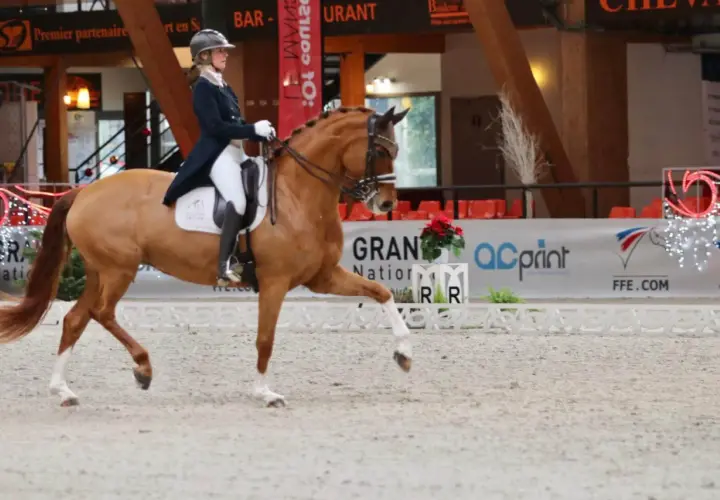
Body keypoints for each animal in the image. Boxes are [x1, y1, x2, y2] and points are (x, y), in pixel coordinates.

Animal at [0, 105, 413, 408]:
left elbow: (381, 292)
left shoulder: (322, 276)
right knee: (102, 314)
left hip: (100, 271)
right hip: (120, 269)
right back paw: (143, 369)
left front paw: (404, 353)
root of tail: (82, 193)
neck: (298, 193)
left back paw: (63, 391)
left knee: (75, 319)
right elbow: (266, 338)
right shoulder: (275, 282)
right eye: (380, 151)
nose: (386, 204)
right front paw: (265, 393)